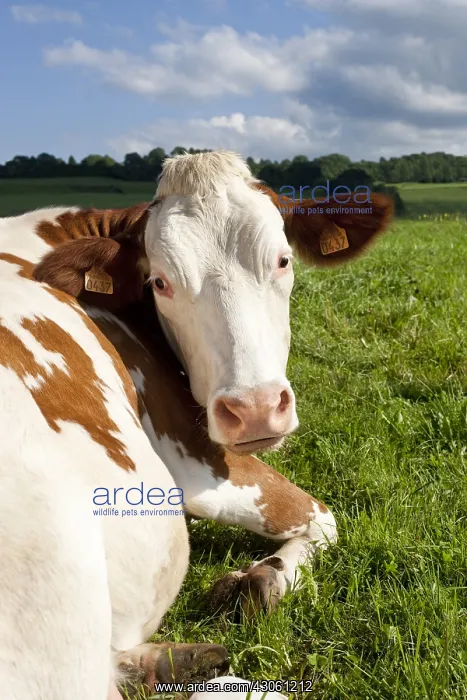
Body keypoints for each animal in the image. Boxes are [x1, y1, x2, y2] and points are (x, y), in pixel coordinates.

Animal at [0, 150, 393, 699]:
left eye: (283, 260)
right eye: (160, 282)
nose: (255, 407)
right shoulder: (193, 458)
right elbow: (325, 517)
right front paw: (266, 578)